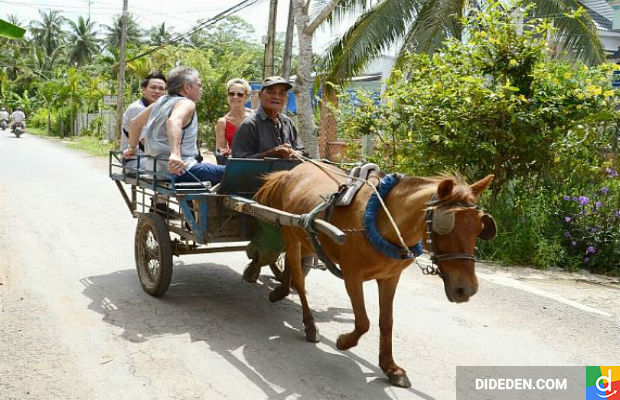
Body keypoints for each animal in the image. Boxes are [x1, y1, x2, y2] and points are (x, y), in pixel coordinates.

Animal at [253, 162, 494, 388]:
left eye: (479, 228)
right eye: (444, 227)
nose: (466, 289)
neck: (382, 222)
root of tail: (292, 171)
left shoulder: (390, 278)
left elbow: (386, 321)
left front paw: (390, 367)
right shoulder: (352, 276)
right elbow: (363, 322)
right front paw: (344, 342)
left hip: (307, 239)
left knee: (294, 267)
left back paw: (280, 289)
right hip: (290, 232)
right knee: (299, 280)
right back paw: (309, 324)